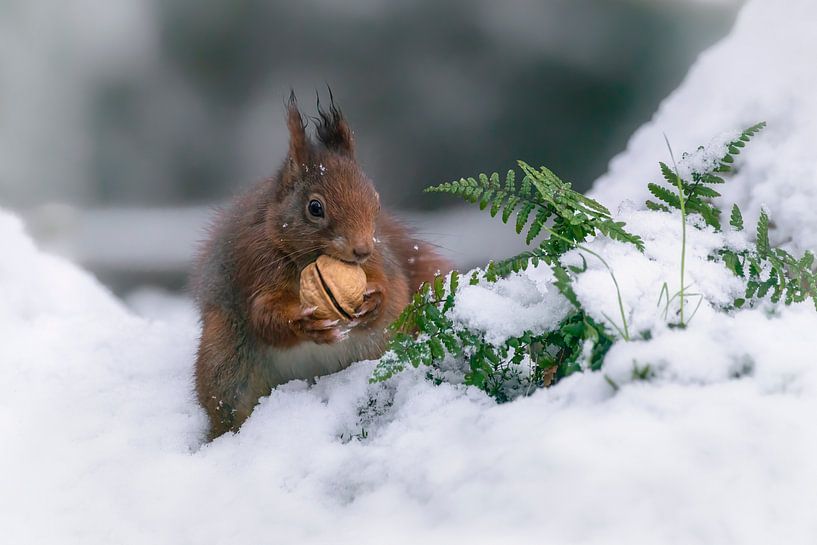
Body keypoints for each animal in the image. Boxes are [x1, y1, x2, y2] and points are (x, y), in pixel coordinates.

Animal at [192, 92, 452, 439]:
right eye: (315, 208)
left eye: (376, 201)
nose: (362, 250)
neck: (310, 260)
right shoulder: (254, 266)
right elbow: (263, 316)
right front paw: (304, 323)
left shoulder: (383, 263)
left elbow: (394, 290)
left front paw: (375, 300)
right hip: (225, 359)